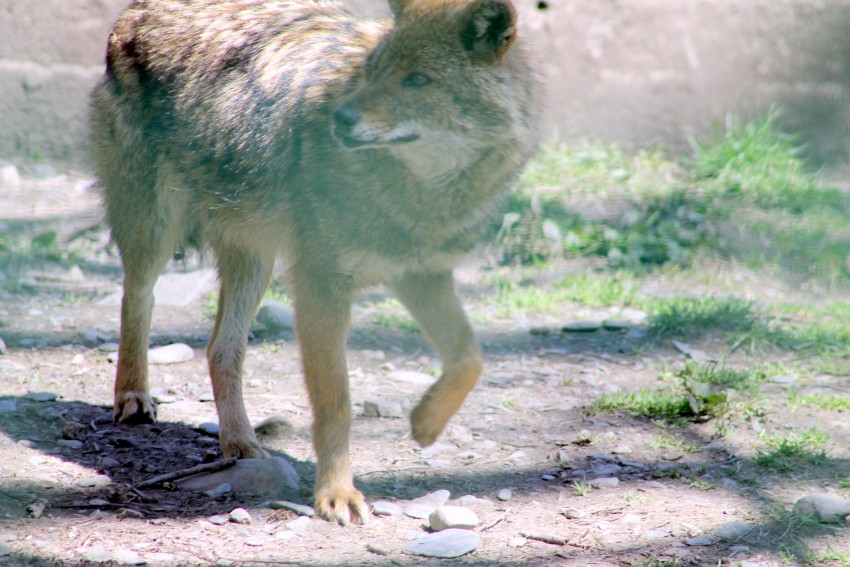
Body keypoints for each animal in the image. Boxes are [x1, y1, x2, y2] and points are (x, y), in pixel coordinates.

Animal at [90, 0, 541, 524]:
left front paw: (426, 423)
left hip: (255, 260)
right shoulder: (321, 284)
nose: (341, 119)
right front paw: (337, 494)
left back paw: (240, 443)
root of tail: (135, 12)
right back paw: (133, 397)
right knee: (136, 299)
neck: (422, 194)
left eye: (417, 80)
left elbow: (470, 357)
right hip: (154, 232)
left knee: (221, 348)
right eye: (374, 72)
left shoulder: (420, 273)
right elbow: (336, 404)